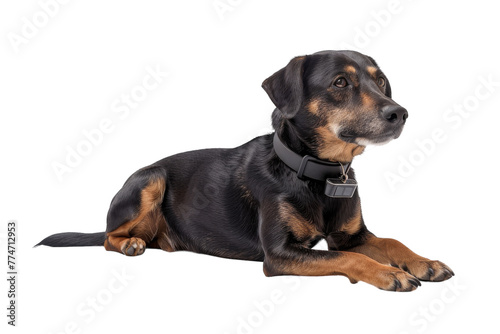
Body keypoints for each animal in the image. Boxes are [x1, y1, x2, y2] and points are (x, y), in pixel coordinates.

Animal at [38, 51, 454, 290]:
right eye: (341, 82)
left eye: (381, 81)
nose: (400, 113)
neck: (318, 173)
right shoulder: (280, 254)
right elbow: (351, 259)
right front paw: (390, 273)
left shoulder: (352, 236)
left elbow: (390, 243)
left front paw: (424, 263)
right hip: (149, 179)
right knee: (109, 236)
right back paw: (130, 243)